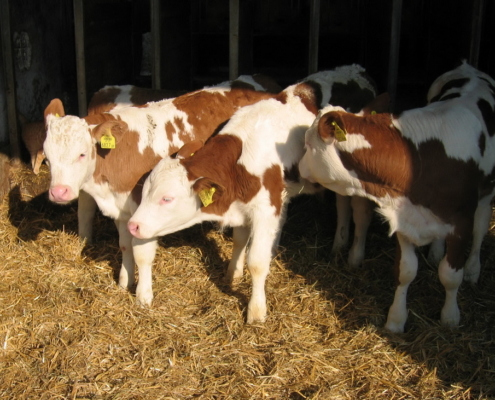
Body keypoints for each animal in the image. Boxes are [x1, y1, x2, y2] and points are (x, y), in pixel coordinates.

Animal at [44, 78, 282, 308]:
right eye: (47, 157)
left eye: (82, 154)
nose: (59, 192)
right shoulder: (123, 211)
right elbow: (124, 246)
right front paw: (124, 282)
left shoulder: (146, 212)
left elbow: (142, 255)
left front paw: (143, 297)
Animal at [129, 65, 380, 322]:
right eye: (145, 191)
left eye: (167, 198)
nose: (133, 225)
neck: (241, 163)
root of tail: (355, 70)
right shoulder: (244, 206)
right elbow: (240, 240)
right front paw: (233, 273)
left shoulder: (265, 209)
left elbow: (257, 262)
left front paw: (257, 311)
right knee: (342, 205)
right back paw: (338, 244)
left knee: (360, 213)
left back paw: (354, 257)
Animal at [298, 61, 495, 332]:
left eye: (308, 143)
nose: (298, 167)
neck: (419, 161)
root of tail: (469, 68)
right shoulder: (405, 219)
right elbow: (405, 271)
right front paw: (396, 319)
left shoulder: (461, 222)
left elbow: (451, 275)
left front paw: (450, 317)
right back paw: (435, 252)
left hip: (486, 192)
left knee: (481, 228)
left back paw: (474, 269)